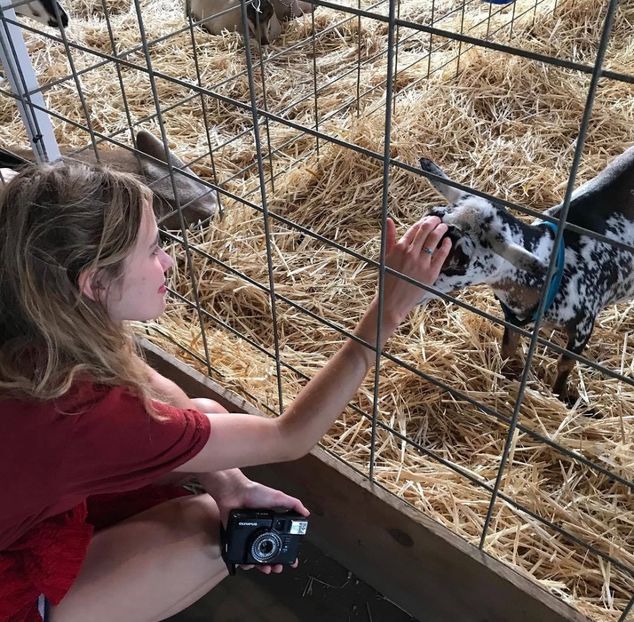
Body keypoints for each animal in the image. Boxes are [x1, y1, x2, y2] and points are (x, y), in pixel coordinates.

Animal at [414, 148, 632, 408]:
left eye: (461, 259)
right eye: (431, 215)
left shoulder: (584, 324)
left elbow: (565, 364)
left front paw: (561, 398)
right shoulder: (512, 317)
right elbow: (508, 348)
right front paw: (506, 378)